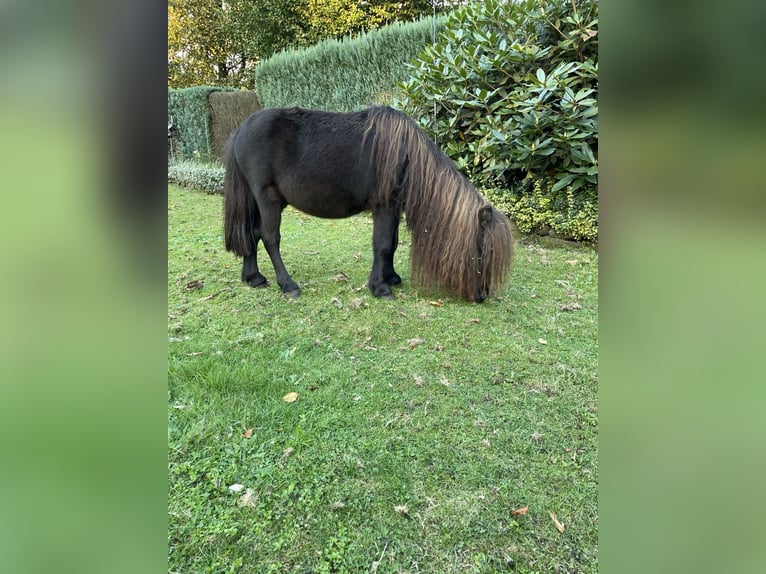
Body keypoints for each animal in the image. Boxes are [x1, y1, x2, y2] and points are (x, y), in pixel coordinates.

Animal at [222, 106, 512, 304]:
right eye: (482, 251)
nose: (482, 294)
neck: (407, 155)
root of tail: (240, 129)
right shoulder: (383, 206)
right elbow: (382, 245)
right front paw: (380, 287)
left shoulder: (393, 208)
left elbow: (392, 244)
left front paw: (391, 278)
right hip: (267, 199)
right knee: (270, 238)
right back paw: (288, 284)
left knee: (252, 234)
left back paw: (254, 278)